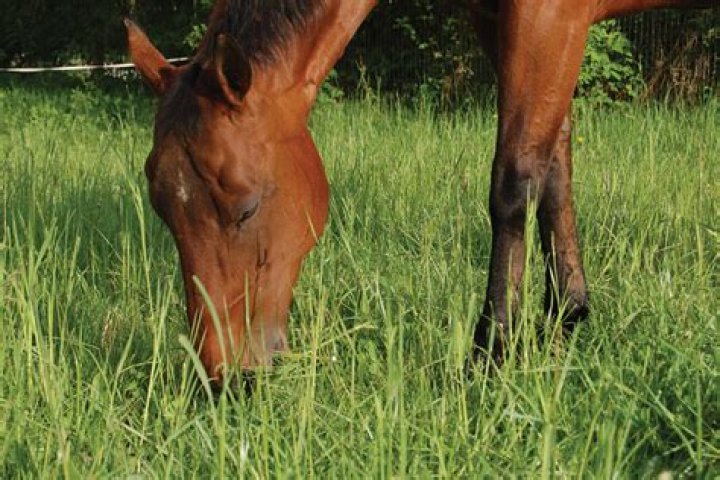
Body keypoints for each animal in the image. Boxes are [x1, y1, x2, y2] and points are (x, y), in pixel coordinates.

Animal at [126, 0, 716, 382]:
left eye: (245, 209)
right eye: (163, 211)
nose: (224, 377)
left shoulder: (550, 17)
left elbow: (516, 177)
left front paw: (491, 355)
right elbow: (555, 163)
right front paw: (564, 317)